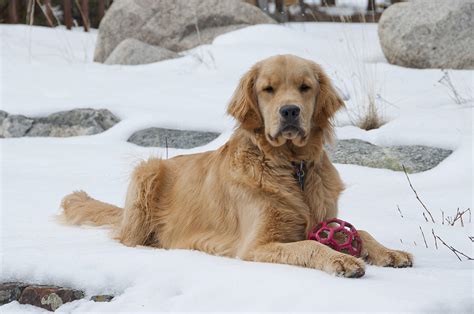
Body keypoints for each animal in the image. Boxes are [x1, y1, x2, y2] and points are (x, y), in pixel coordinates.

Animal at [62, 54, 412, 278]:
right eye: (268, 89)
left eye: (305, 87)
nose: (290, 111)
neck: (290, 165)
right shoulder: (256, 245)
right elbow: (309, 245)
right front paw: (341, 259)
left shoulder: (325, 217)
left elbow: (360, 231)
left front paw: (388, 251)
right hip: (146, 171)